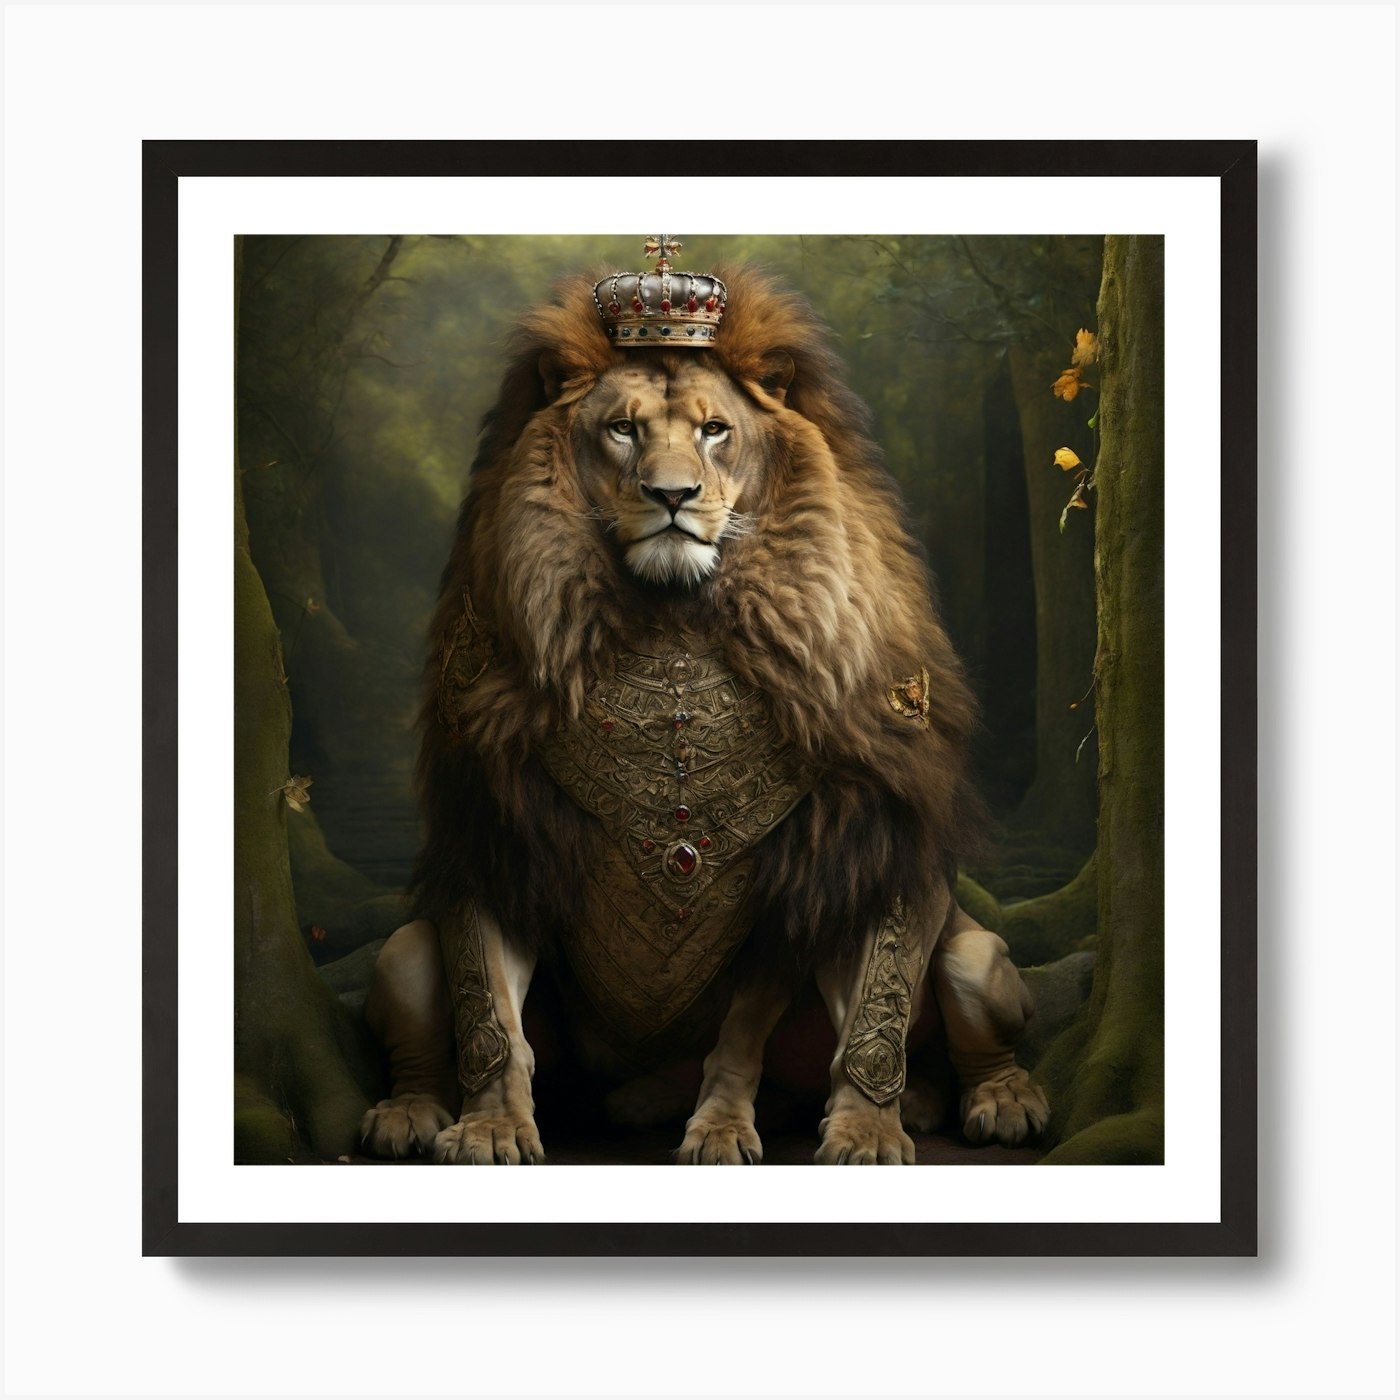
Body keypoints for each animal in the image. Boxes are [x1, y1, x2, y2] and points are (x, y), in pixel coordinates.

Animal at [358, 259, 1047, 1165]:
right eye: (622, 430)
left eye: (716, 430)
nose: (672, 495)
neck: (672, 612)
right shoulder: (494, 818)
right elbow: (491, 1020)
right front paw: (491, 1126)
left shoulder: (834, 841)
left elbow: (804, 1023)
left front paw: (818, 1130)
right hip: (402, 955)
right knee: (425, 1006)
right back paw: (426, 1108)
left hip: (974, 953)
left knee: (955, 1030)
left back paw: (989, 1098)